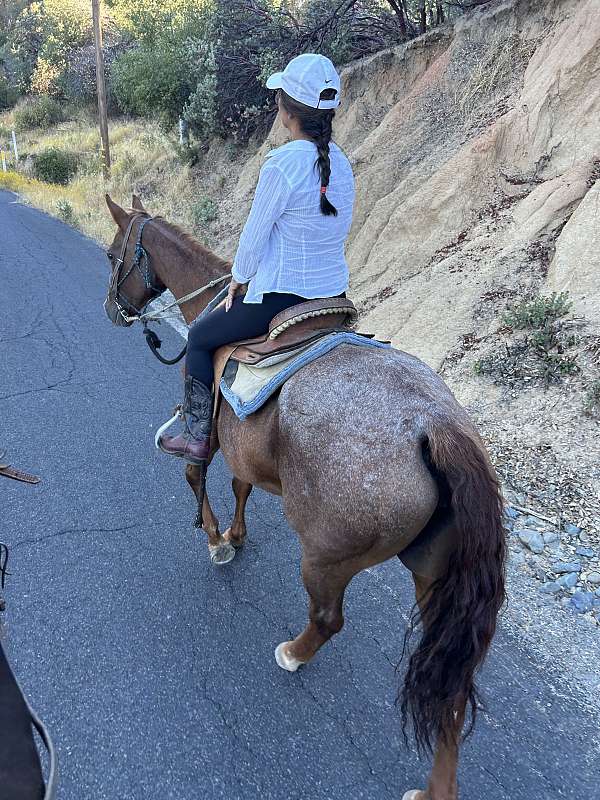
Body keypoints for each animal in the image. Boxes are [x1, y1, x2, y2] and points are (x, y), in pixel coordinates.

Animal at [104, 195, 506, 800]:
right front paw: (237, 535)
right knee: (450, 685)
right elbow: (242, 486)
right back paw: (435, 787)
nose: (112, 310)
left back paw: (293, 654)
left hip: (327, 557)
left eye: (113, 253)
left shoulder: (210, 434)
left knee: (327, 618)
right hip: (436, 574)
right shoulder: (245, 452)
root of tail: (436, 427)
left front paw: (217, 541)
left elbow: (197, 475)